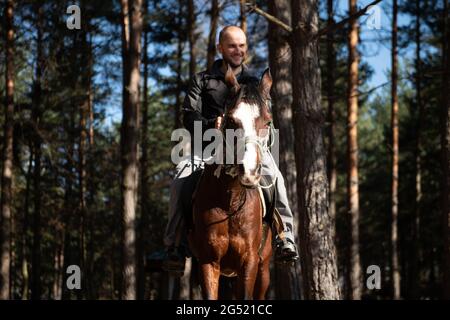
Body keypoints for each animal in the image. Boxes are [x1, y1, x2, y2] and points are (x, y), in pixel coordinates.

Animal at [187, 65, 272, 300]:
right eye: (232, 121)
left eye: (268, 121)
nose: (250, 172)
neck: (230, 201)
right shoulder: (208, 262)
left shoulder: (249, 263)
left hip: (264, 268)